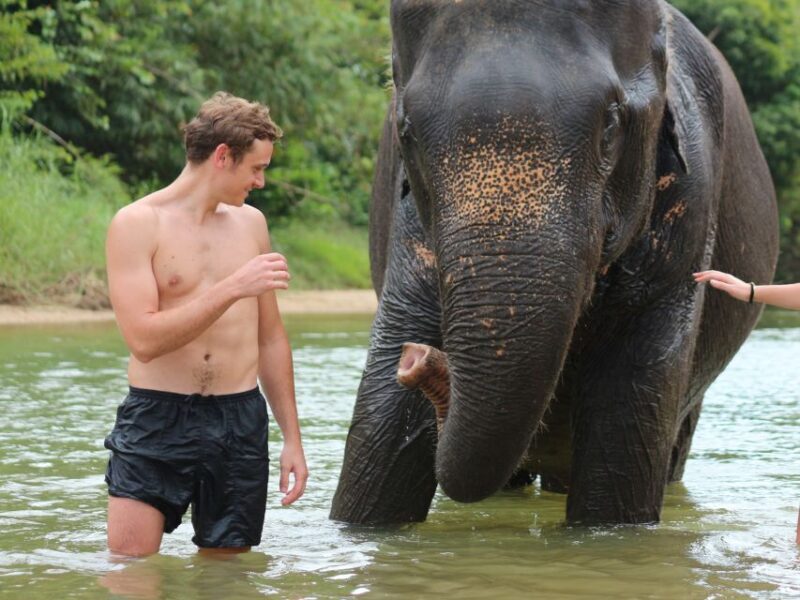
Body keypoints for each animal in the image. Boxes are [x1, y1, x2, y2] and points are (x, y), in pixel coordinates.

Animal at [330, 0, 779, 525]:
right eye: (407, 133)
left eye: (611, 124)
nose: (417, 359)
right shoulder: (410, 237)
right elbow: (378, 447)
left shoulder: (687, 217)